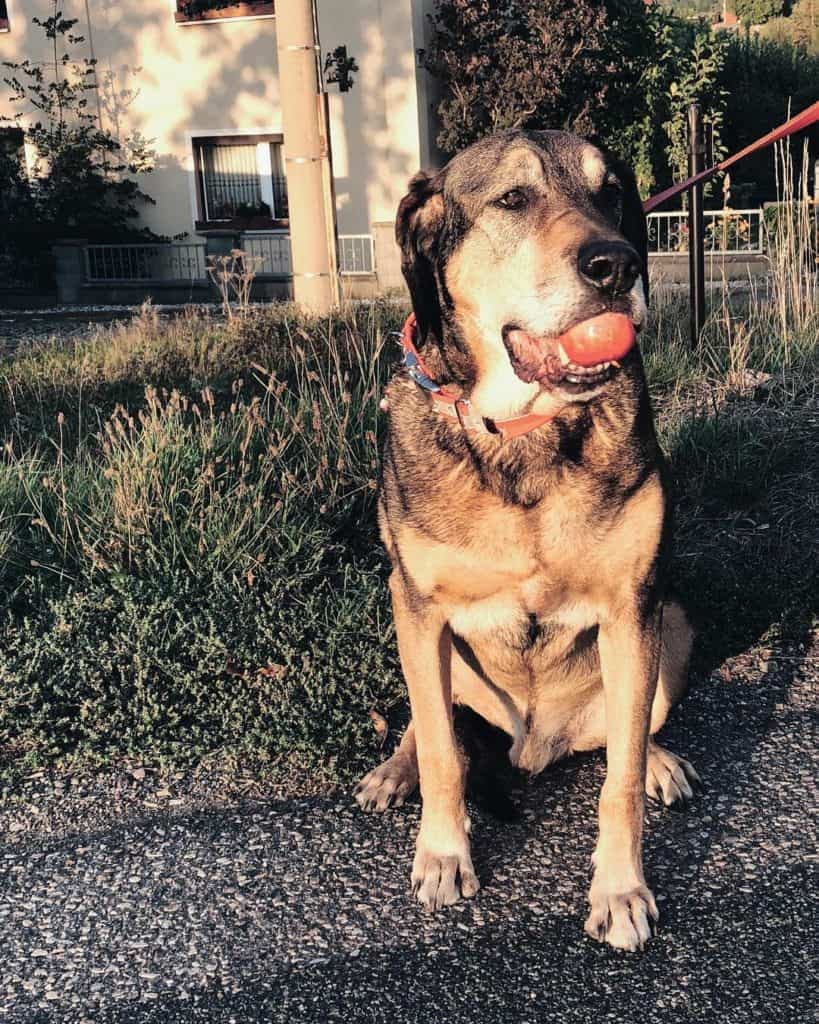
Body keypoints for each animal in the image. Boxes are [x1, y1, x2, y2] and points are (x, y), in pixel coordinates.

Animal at [354, 130, 700, 950]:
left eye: (612, 193)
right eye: (513, 199)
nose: (617, 264)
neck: (523, 432)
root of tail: (533, 746)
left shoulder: (633, 605)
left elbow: (619, 778)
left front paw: (620, 890)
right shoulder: (418, 607)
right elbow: (443, 753)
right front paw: (443, 853)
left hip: (670, 621)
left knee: (631, 728)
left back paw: (660, 759)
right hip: (419, 636)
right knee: (430, 720)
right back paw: (393, 770)